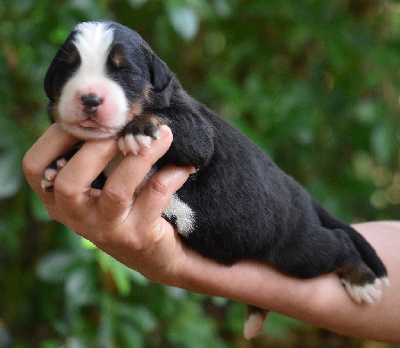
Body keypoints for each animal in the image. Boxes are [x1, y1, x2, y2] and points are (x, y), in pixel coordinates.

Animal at [42, 20, 390, 338]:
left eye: (123, 69)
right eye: (68, 67)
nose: (90, 99)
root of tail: (298, 190)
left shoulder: (198, 133)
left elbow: (171, 124)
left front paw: (138, 128)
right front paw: (59, 164)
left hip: (299, 248)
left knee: (339, 243)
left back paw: (362, 280)